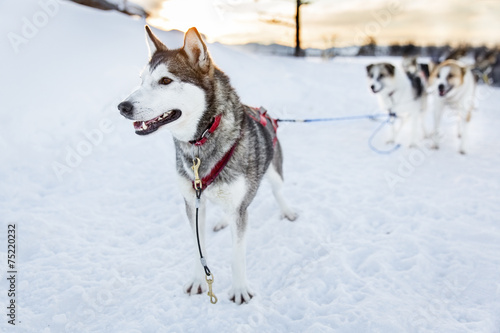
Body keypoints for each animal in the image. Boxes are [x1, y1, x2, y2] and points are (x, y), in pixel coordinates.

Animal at [117, 26, 296, 304]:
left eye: (165, 81)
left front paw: (240, 289)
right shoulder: (193, 203)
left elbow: (237, 255)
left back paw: (286, 211)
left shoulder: (239, 209)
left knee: (278, 191)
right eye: (141, 80)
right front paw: (199, 281)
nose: (122, 107)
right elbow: (198, 247)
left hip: (274, 172)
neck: (201, 143)